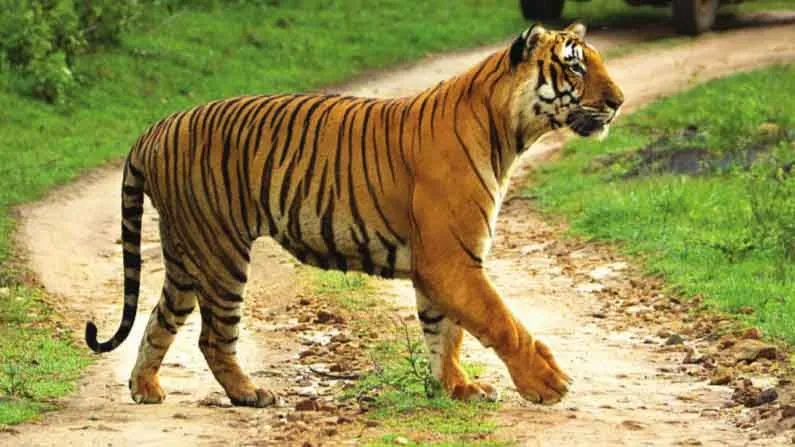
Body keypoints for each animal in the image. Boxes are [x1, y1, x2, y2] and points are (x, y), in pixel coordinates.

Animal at [85, 22, 623, 407]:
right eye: (576, 68)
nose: (618, 103)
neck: (508, 131)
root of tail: (155, 128)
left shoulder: (442, 263)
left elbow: (445, 332)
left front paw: (457, 388)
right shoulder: (452, 259)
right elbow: (501, 321)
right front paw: (546, 383)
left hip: (185, 252)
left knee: (159, 319)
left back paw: (145, 388)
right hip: (220, 251)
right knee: (214, 337)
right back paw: (249, 394)